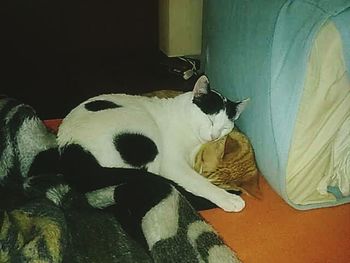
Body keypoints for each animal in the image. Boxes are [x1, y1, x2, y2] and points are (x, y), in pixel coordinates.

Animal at [57, 75, 247, 212]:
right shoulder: (172, 164)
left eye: (224, 127)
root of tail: (71, 149)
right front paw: (227, 198)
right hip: (146, 134)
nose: (214, 136)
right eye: (209, 119)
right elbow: (198, 181)